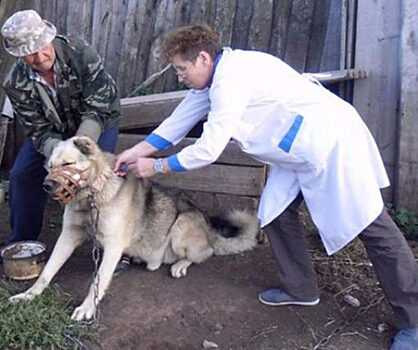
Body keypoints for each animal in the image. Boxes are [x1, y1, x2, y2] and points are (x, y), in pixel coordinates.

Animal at [9, 136, 258, 320]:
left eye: (67, 164)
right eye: (50, 167)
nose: (46, 185)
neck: (93, 196)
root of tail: (208, 226)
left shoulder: (112, 246)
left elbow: (98, 281)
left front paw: (87, 308)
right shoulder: (67, 237)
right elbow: (47, 271)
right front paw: (28, 295)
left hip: (181, 226)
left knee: (205, 253)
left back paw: (180, 264)